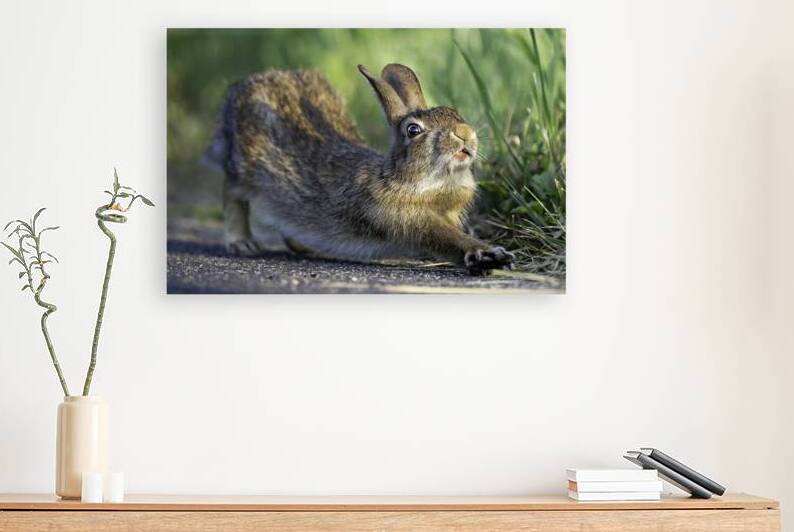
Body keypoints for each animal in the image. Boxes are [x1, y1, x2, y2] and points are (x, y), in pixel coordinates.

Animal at [208, 63, 514, 274]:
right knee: (231, 192)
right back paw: (242, 243)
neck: (416, 181)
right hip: (244, 166)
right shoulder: (403, 217)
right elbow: (447, 238)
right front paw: (487, 254)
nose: (465, 134)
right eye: (413, 130)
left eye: (454, 113)